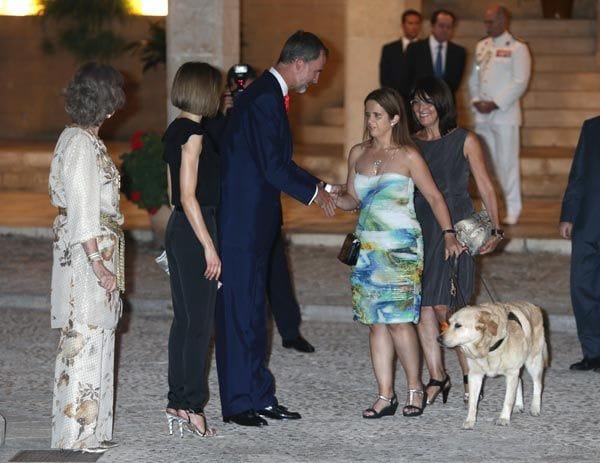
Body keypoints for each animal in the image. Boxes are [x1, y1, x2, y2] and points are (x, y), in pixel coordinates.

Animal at [440, 302, 548, 430]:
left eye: (458, 325)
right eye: (449, 323)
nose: (438, 339)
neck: (488, 347)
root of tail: (534, 306)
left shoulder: (511, 373)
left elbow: (508, 400)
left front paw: (504, 418)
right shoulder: (475, 376)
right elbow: (472, 402)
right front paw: (470, 420)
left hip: (533, 362)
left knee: (538, 384)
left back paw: (535, 408)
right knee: (520, 381)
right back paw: (518, 405)